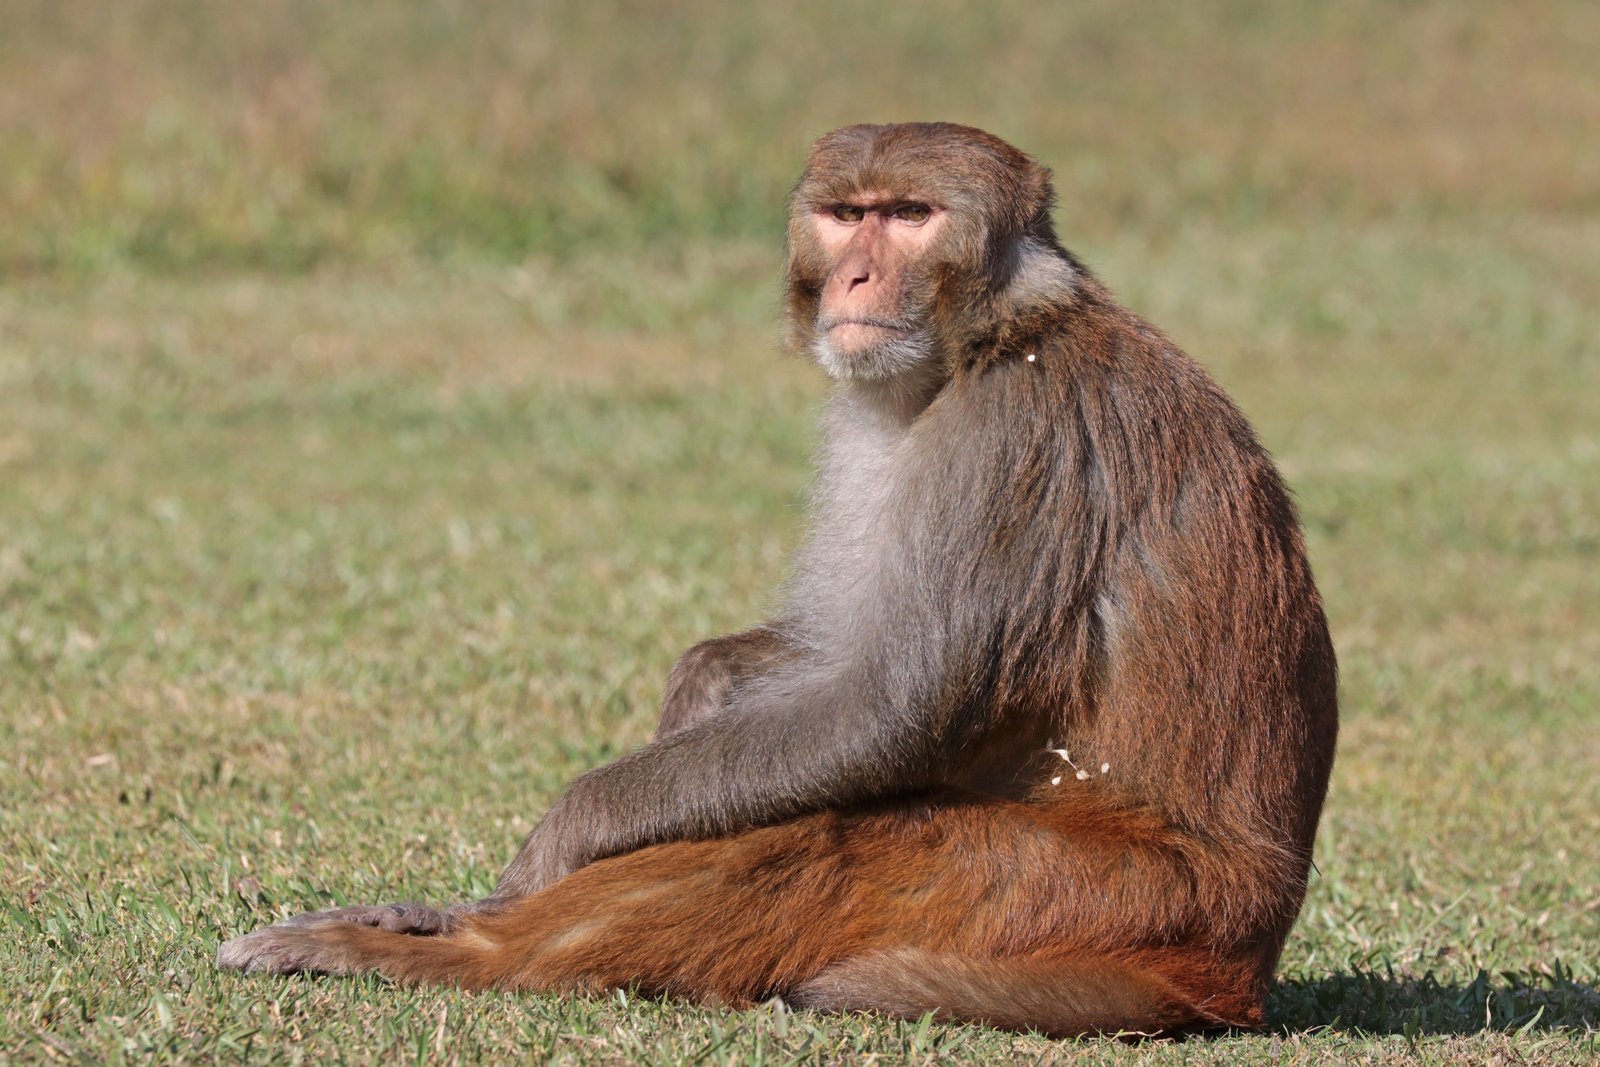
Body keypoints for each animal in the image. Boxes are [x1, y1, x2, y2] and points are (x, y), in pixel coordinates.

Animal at [216, 120, 1337, 1036]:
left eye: (910, 216)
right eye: (847, 217)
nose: (855, 282)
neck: (986, 342)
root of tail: (1236, 966)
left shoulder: (1016, 434)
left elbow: (890, 705)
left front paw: (557, 843)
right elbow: (821, 659)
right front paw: (703, 680)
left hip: (1085, 894)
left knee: (822, 840)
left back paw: (462, 952)